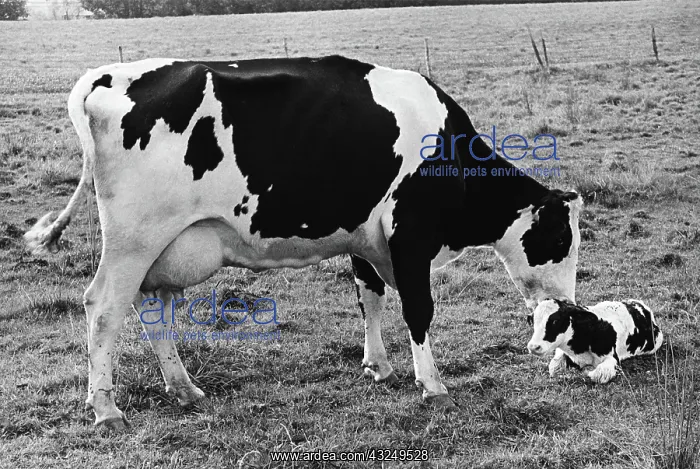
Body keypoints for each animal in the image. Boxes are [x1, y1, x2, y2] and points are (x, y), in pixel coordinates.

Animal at [24, 55, 583, 430]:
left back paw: (184, 389)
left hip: (162, 249)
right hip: (134, 241)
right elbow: (418, 310)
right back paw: (106, 409)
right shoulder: (410, 236)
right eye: (561, 237)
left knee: (153, 310)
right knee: (103, 308)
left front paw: (378, 366)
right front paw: (433, 386)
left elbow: (370, 297)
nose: (569, 306)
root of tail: (106, 75)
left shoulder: (365, 236)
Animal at [527, 298, 663, 383]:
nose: (533, 347)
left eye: (555, 321)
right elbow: (554, 367)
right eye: (533, 320)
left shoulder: (613, 359)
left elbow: (597, 375)